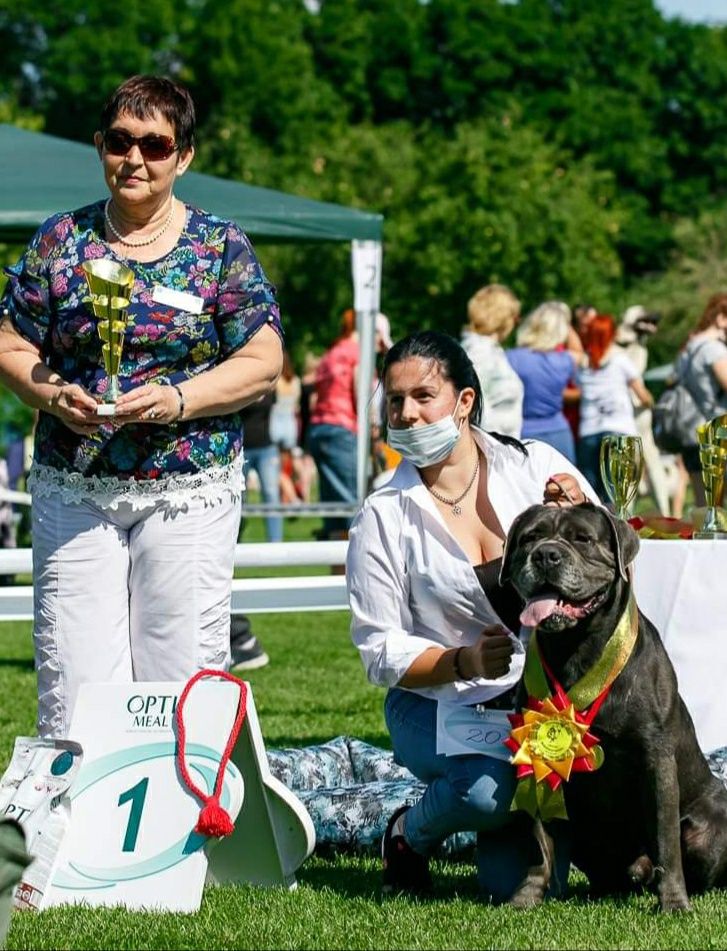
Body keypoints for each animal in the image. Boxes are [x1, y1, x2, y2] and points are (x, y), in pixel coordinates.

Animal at [498, 506, 727, 916]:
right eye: (529, 538)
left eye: (582, 539)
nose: (546, 555)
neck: (577, 647)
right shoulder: (535, 758)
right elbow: (537, 844)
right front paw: (526, 897)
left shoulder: (656, 760)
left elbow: (666, 838)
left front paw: (674, 903)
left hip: (707, 829)